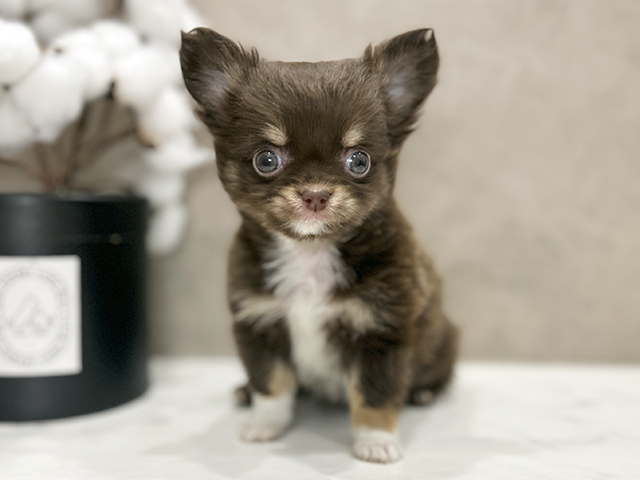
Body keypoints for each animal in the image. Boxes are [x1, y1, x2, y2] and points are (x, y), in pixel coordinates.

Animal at [180, 27, 458, 464]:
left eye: (359, 161)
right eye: (266, 160)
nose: (315, 194)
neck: (310, 252)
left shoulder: (382, 330)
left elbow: (375, 393)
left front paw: (375, 440)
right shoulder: (260, 321)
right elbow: (271, 381)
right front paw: (265, 424)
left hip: (442, 340)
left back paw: (424, 392)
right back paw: (243, 393)